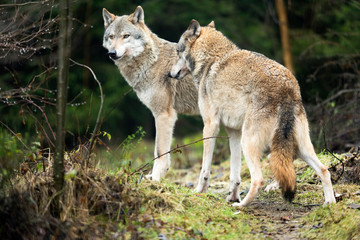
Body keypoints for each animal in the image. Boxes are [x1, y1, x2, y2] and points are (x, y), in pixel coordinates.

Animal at [170, 19, 336, 207]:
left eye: (177, 51)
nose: (169, 74)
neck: (211, 59)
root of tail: (287, 88)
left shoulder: (210, 126)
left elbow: (205, 169)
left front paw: (200, 191)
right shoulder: (233, 133)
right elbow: (234, 174)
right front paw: (232, 196)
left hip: (249, 143)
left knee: (258, 180)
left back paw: (241, 206)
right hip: (298, 147)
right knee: (324, 170)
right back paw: (329, 203)